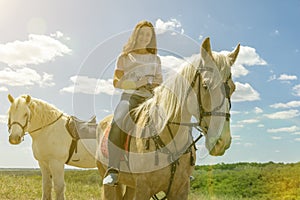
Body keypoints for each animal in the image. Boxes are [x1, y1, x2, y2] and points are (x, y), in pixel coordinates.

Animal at [97, 37, 240, 198]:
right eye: (205, 86)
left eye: (233, 88)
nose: (222, 142)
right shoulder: (143, 189)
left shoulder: (181, 189)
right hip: (109, 182)